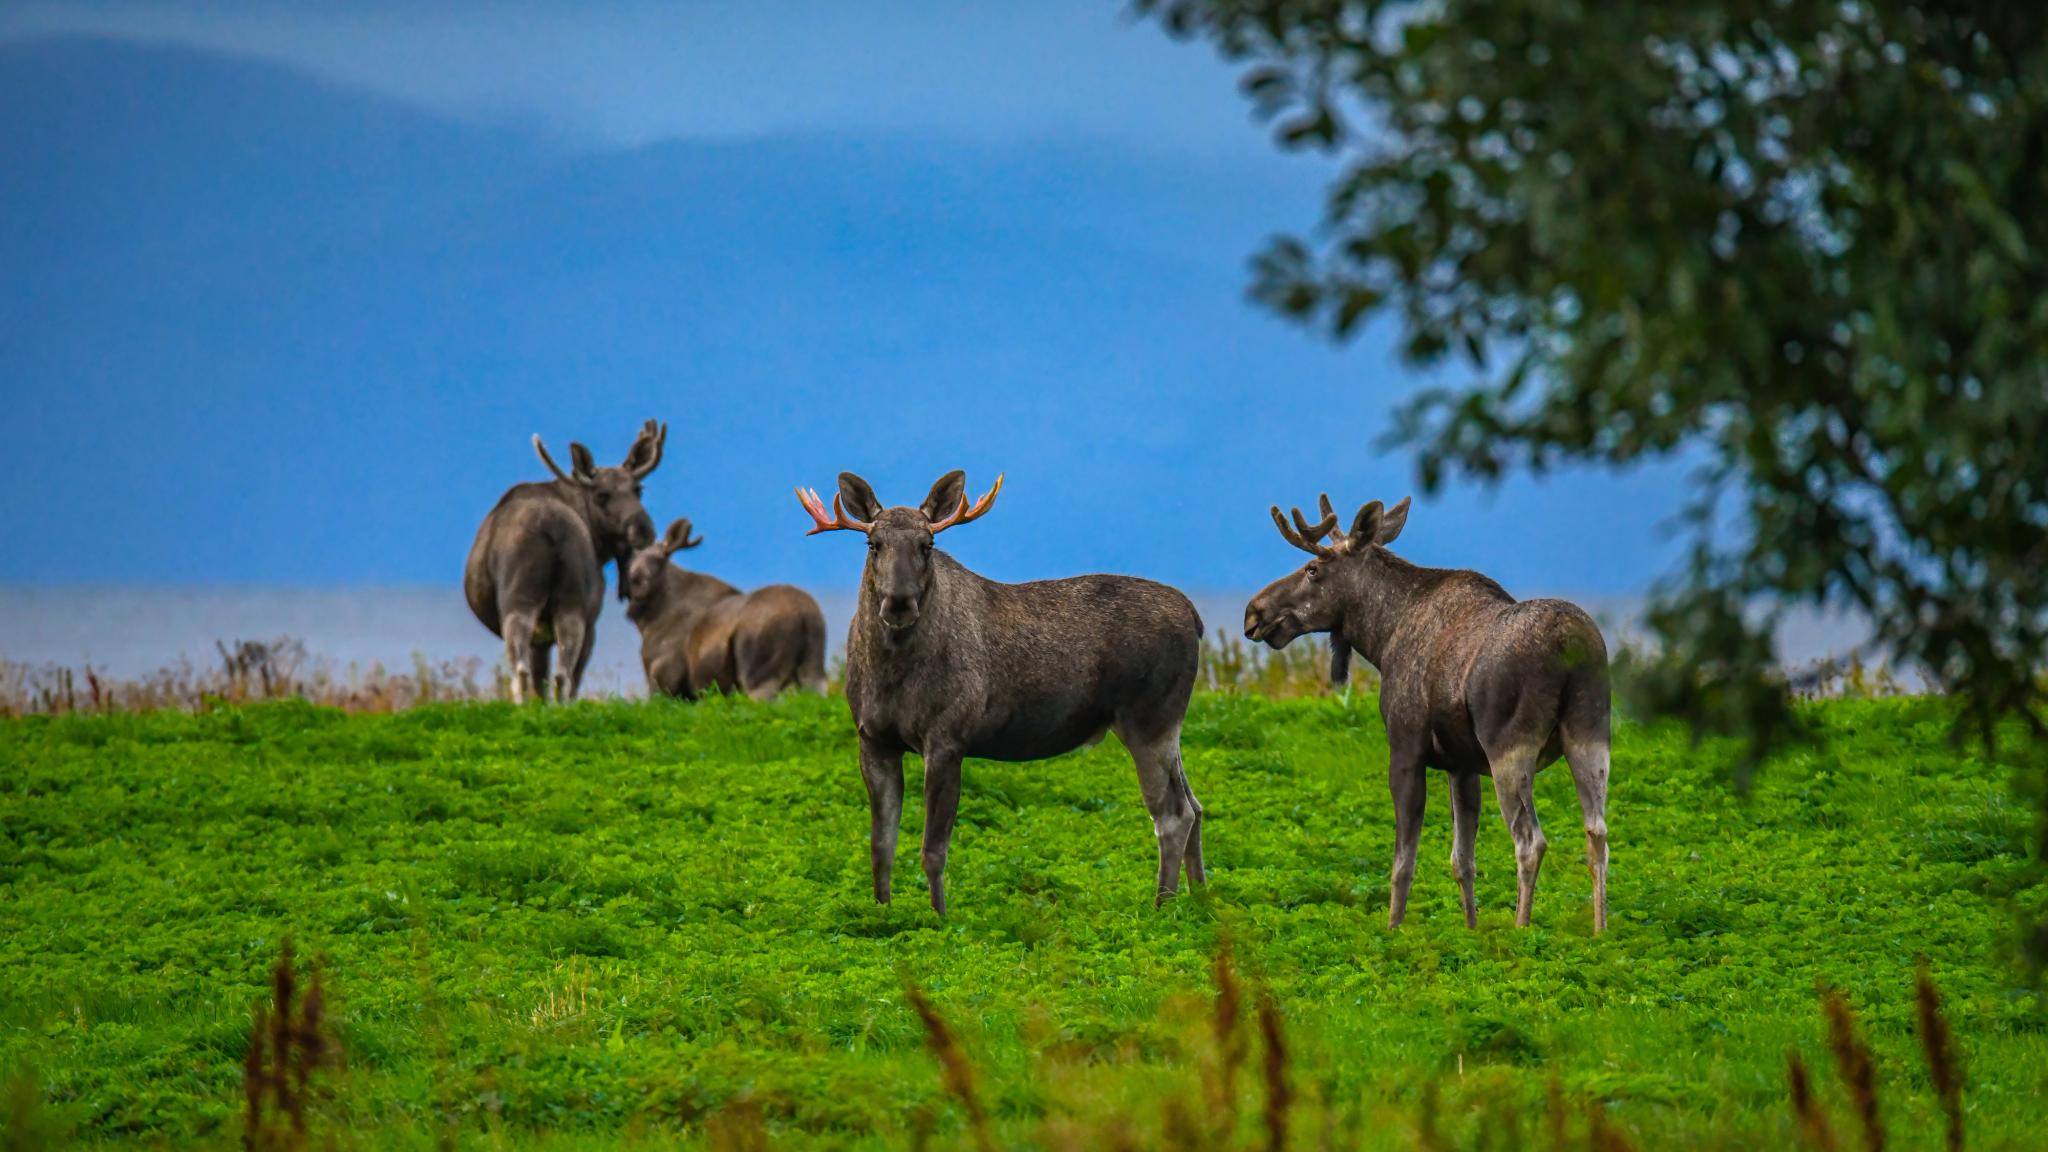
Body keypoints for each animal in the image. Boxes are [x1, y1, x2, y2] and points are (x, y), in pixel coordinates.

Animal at [464, 420, 665, 703]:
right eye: (601, 495)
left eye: (639, 489)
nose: (643, 529)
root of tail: (552, 526)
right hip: (569, 603)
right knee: (560, 672)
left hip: (527, 598)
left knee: (537, 669)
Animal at [623, 517, 829, 700]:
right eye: (633, 559)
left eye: (658, 559)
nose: (636, 578)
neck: (650, 621)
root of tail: (805, 616)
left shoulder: (663, 677)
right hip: (813, 669)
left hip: (760, 676)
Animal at [796, 469, 1207, 914]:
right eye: (873, 543)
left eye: (928, 545)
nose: (899, 602)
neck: (890, 671)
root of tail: (1196, 618)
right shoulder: (873, 738)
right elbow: (880, 846)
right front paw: (882, 912)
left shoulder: (946, 739)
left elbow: (932, 849)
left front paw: (939, 916)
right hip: (1165, 728)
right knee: (1196, 806)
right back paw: (1202, 900)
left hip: (1149, 720)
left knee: (1173, 815)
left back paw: (1162, 908)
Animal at [1243, 494, 1611, 933]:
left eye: (1312, 568)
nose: (1253, 612)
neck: (1382, 637)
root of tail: (1569, 643)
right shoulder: (1462, 765)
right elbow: (1463, 862)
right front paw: (1471, 929)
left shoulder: (1406, 750)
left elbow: (1403, 863)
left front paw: (1393, 928)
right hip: (1590, 734)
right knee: (1597, 831)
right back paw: (1599, 931)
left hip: (1509, 747)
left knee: (1530, 841)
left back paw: (1521, 929)